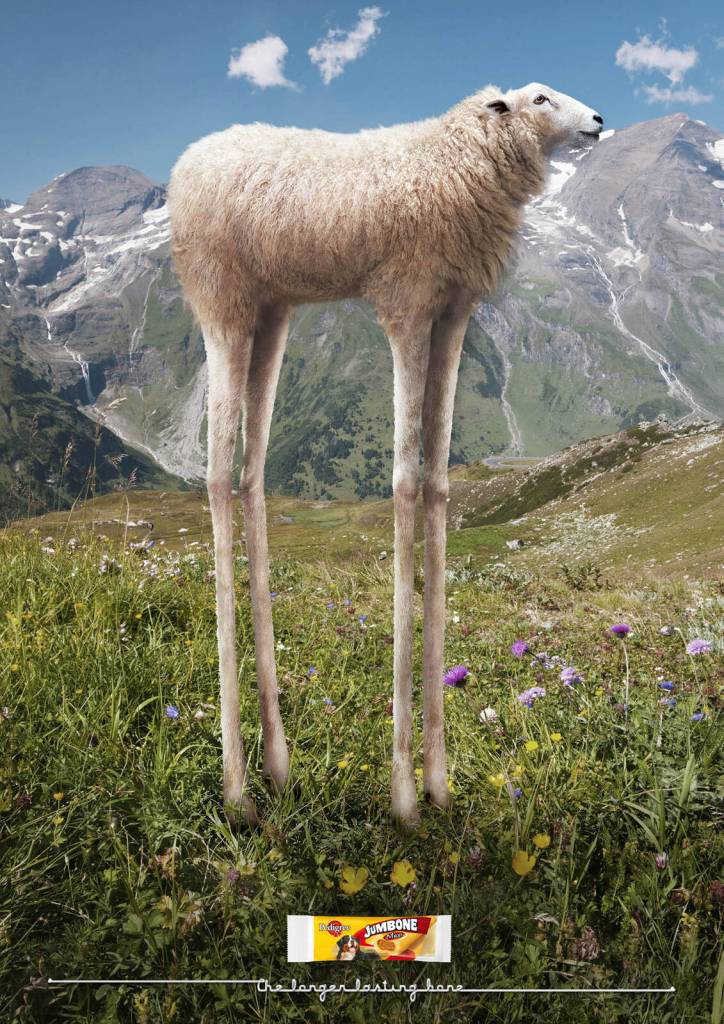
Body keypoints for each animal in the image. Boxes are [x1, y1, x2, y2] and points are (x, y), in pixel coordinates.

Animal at [168, 82, 604, 827]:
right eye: (540, 97)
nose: (598, 121)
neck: (453, 157)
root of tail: (185, 163)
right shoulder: (407, 302)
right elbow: (402, 483)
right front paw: (404, 796)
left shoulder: (454, 310)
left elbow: (437, 487)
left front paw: (439, 783)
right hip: (222, 303)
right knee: (219, 479)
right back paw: (238, 790)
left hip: (274, 308)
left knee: (252, 478)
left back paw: (279, 767)